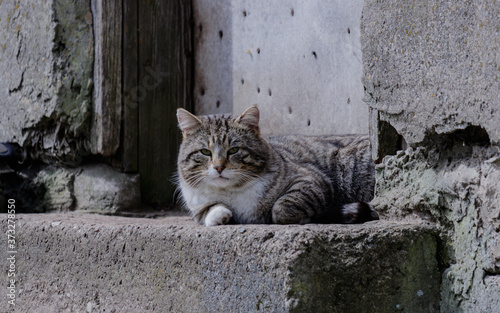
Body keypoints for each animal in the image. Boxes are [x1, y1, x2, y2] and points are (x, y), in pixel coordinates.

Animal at [177, 106, 378, 225]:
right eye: (205, 152)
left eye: (233, 150)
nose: (219, 167)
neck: (232, 192)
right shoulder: (195, 202)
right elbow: (208, 211)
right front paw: (220, 215)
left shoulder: (311, 179)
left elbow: (281, 208)